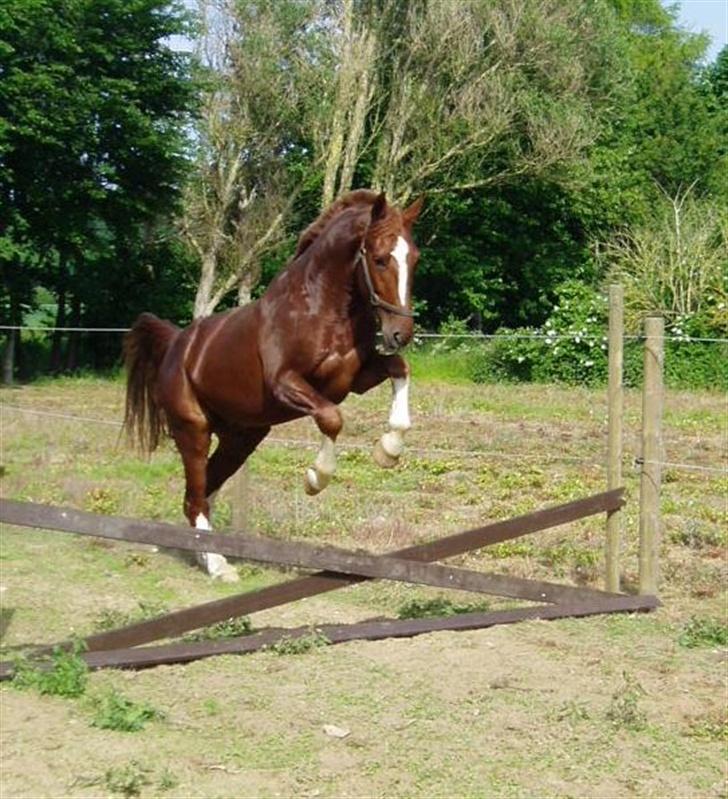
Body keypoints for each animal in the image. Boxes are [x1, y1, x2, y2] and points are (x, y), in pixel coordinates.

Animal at [123, 191, 424, 584]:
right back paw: (218, 566)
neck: (321, 308)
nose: (400, 333)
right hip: (194, 429)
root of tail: (176, 344)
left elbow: (399, 369)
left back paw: (207, 557)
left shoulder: (354, 379)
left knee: (205, 492)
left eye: (415, 258)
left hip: (241, 438)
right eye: (380, 258)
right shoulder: (286, 384)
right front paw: (316, 478)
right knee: (195, 496)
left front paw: (389, 450)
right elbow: (331, 418)